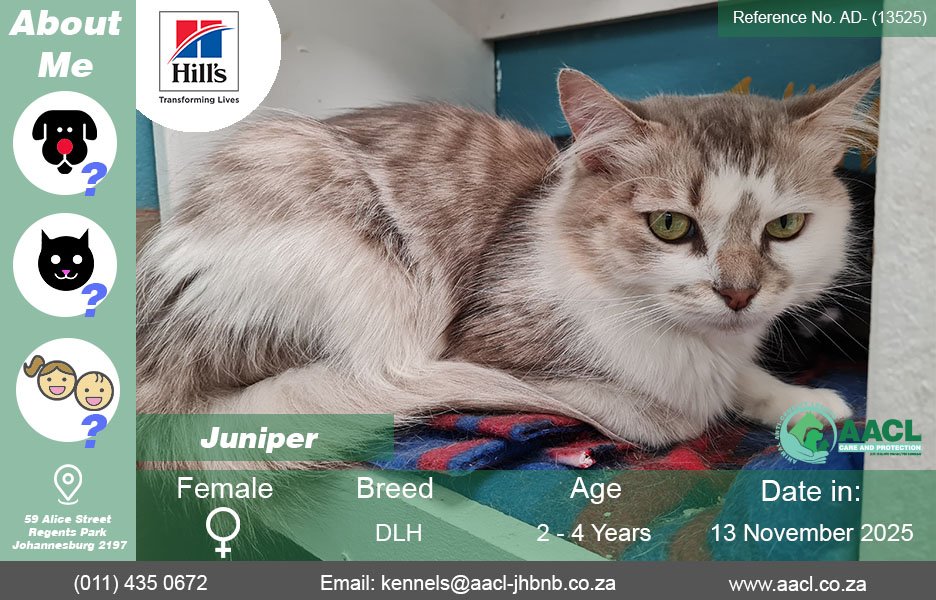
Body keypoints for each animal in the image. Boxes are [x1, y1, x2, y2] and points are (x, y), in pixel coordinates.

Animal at [137, 65, 878, 448]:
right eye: (671, 226)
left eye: (785, 227)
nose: (739, 292)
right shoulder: (493, 337)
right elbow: (671, 401)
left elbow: (746, 378)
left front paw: (801, 400)